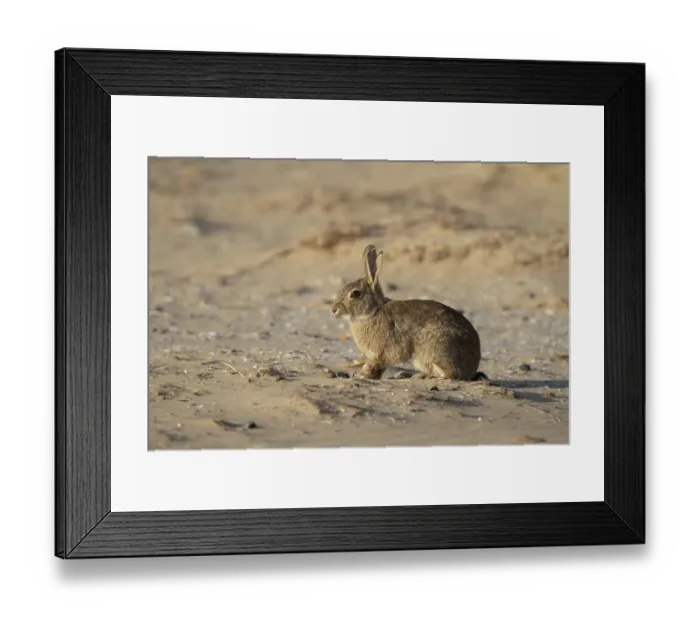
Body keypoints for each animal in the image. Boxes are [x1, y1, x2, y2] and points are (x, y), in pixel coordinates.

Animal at [331, 244, 487, 381]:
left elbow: (375, 365)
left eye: (356, 294)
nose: (334, 310)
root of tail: (472, 368)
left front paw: (363, 375)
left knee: (450, 375)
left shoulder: (384, 352)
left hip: (435, 351)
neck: (373, 312)